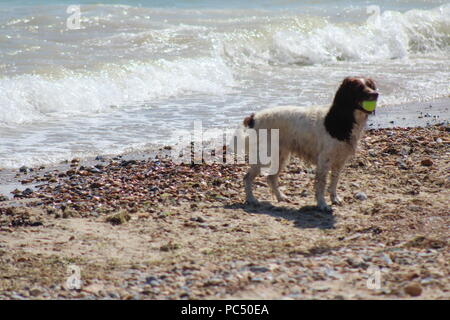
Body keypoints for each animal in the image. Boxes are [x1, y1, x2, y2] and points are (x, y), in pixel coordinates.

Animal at [243, 76, 376, 212]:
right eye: (358, 88)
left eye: (370, 85)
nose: (376, 94)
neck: (341, 119)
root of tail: (253, 117)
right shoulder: (324, 160)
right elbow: (321, 184)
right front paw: (322, 204)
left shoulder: (340, 160)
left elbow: (334, 181)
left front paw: (334, 198)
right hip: (265, 155)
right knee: (247, 178)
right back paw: (251, 199)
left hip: (280, 156)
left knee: (271, 177)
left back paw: (280, 197)